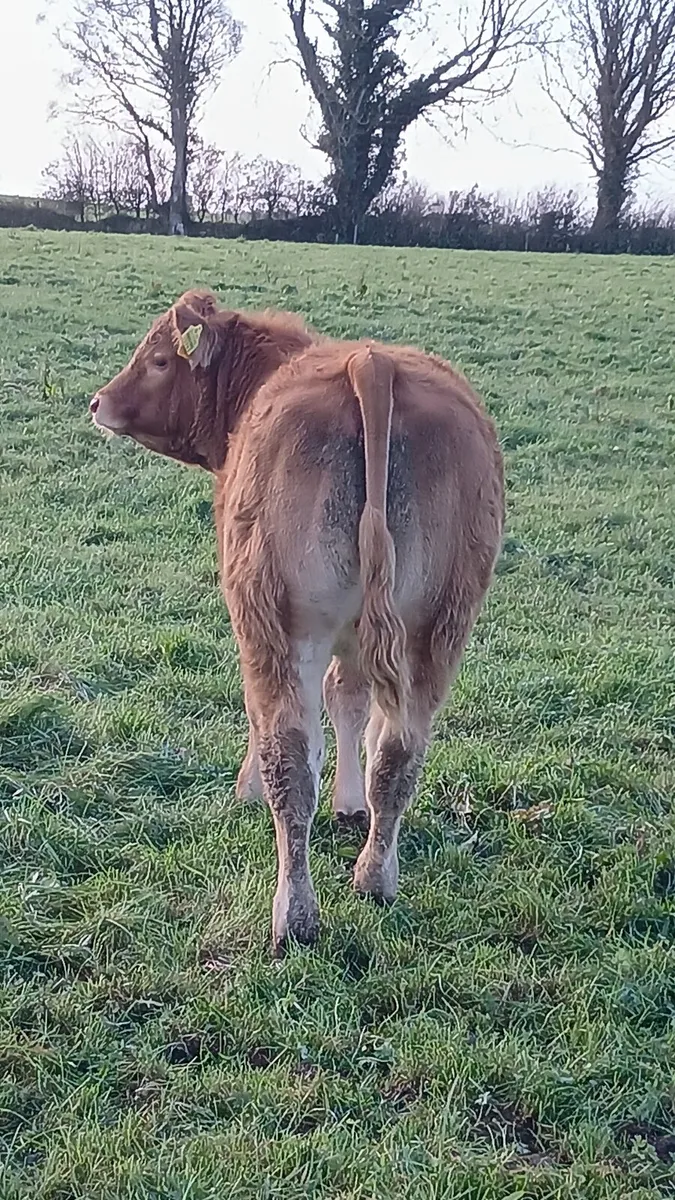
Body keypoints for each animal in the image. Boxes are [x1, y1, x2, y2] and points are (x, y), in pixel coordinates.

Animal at [90, 288, 504, 953]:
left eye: (157, 360)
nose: (98, 402)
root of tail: (371, 364)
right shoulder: (361, 644)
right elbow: (350, 703)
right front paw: (350, 803)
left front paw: (247, 790)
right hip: (434, 631)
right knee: (398, 753)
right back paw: (375, 878)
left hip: (277, 622)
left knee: (287, 757)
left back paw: (295, 915)